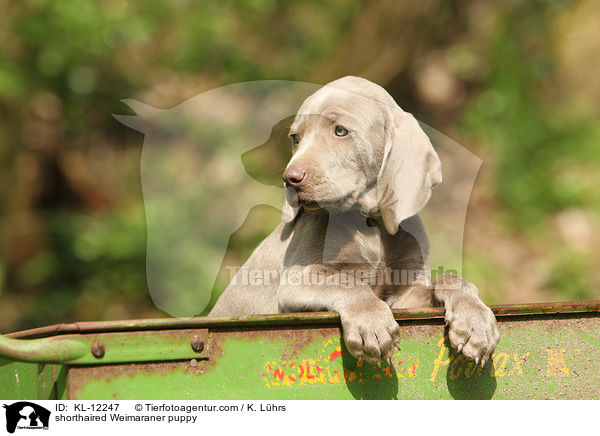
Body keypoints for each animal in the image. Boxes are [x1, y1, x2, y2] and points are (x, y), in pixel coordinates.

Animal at [209, 76, 500, 366]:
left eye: (340, 131)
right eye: (295, 138)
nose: (290, 179)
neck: (371, 225)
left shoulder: (407, 296)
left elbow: (449, 278)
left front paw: (475, 322)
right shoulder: (294, 282)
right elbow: (346, 281)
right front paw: (371, 323)